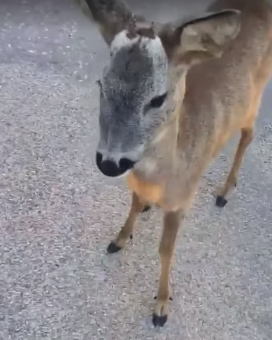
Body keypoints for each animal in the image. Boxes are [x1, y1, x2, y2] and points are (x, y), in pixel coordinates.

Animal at [79, 0, 272, 326]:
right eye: (101, 84)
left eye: (157, 99)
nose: (109, 162)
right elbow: (133, 203)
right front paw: (120, 237)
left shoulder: (182, 201)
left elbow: (166, 250)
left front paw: (161, 307)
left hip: (254, 98)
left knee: (248, 135)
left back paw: (224, 192)